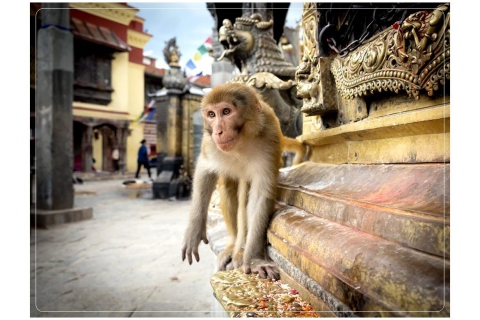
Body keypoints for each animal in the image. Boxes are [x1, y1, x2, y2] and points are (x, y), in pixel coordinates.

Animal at [182, 82, 306, 280]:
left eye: (226, 111)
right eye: (211, 114)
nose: (218, 131)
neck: (241, 142)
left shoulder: (270, 139)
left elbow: (259, 196)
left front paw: (254, 260)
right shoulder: (210, 142)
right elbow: (204, 170)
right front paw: (194, 230)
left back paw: (240, 251)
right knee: (227, 184)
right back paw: (234, 244)